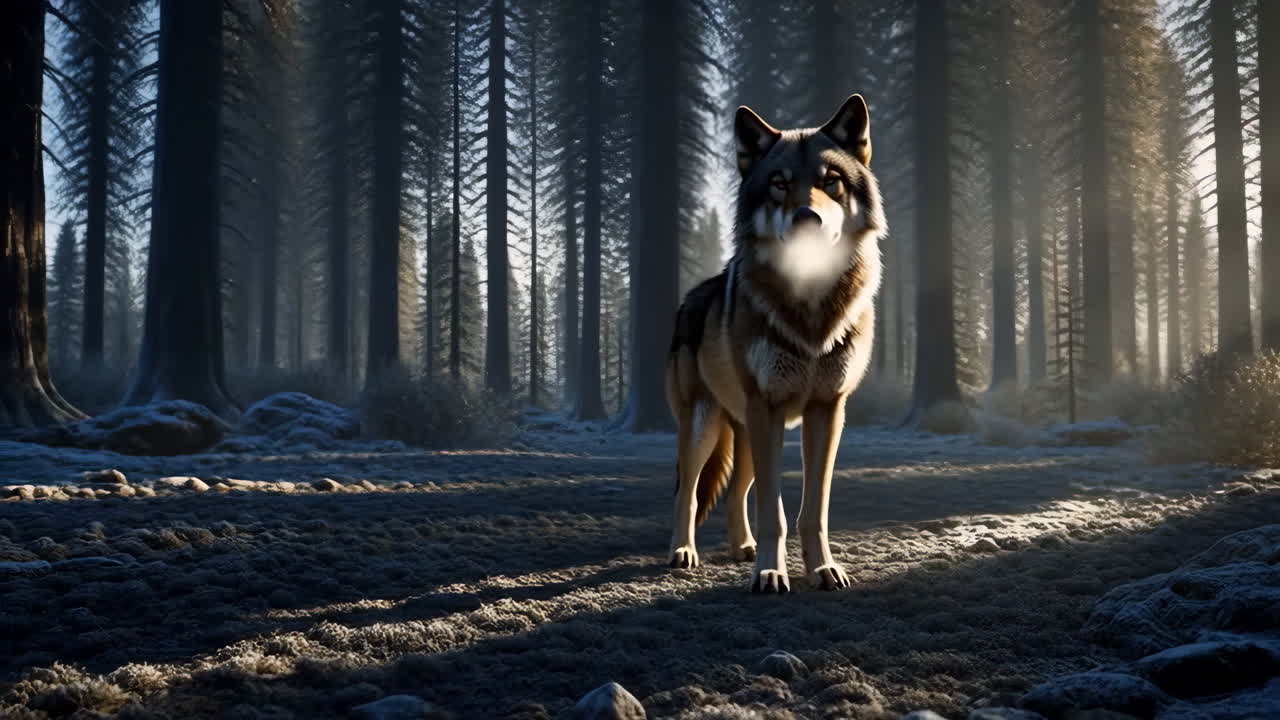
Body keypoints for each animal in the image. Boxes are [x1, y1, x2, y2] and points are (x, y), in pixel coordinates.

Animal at [665, 94, 886, 593]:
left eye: (830, 181)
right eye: (780, 185)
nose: (809, 218)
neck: (809, 305)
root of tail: (692, 296)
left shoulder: (827, 409)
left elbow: (812, 510)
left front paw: (823, 570)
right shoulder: (767, 409)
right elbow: (774, 512)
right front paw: (769, 573)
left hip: (746, 433)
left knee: (735, 493)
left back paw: (741, 548)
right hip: (704, 427)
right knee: (689, 493)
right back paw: (683, 552)